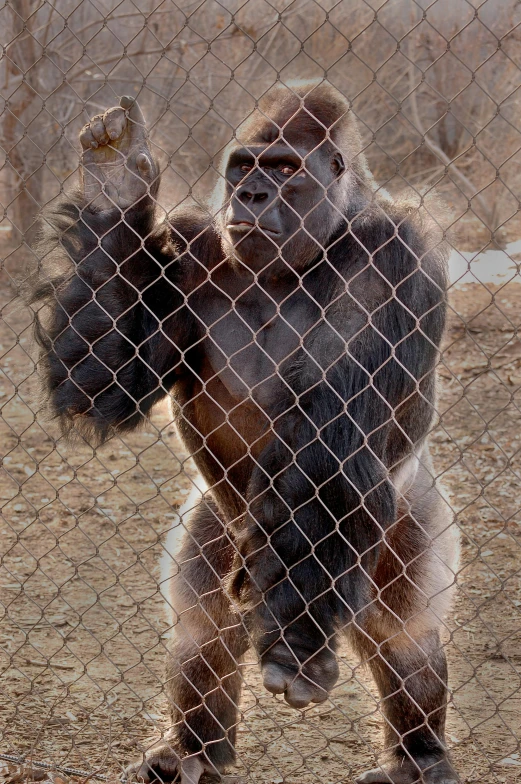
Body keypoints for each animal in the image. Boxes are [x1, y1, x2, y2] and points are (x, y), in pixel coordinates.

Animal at [30, 82, 460, 780]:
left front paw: (297, 646)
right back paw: (192, 751)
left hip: (407, 518)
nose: (252, 195)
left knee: (404, 633)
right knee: (204, 622)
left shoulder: (394, 255)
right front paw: (114, 188)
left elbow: (330, 441)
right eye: (245, 167)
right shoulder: (190, 247)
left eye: (283, 169)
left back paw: (418, 756)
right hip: (226, 530)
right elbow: (106, 381)